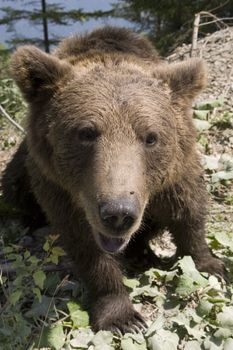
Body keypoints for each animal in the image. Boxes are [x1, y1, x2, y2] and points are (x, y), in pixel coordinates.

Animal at [1, 26, 226, 332]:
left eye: (151, 137)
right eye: (86, 133)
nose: (118, 213)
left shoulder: (177, 171)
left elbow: (189, 211)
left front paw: (212, 265)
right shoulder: (59, 190)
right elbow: (86, 247)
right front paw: (122, 316)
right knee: (14, 190)